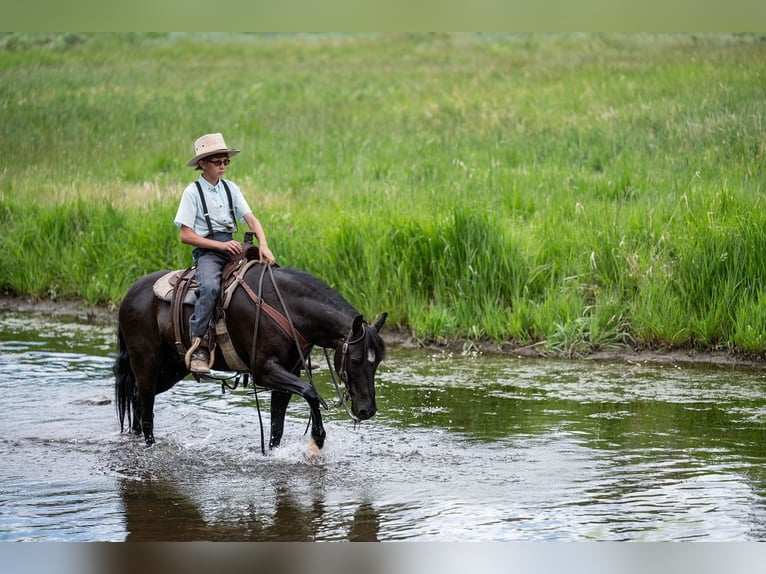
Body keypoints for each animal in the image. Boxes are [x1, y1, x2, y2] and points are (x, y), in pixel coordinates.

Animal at [112, 262, 387, 452]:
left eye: (377, 363)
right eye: (355, 360)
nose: (367, 410)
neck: (285, 307)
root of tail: (129, 294)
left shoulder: (288, 373)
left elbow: (277, 425)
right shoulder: (265, 371)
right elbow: (311, 393)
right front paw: (317, 440)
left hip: (172, 368)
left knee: (137, 398)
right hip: (146, 361)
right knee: (146, 409)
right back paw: (150, 446)